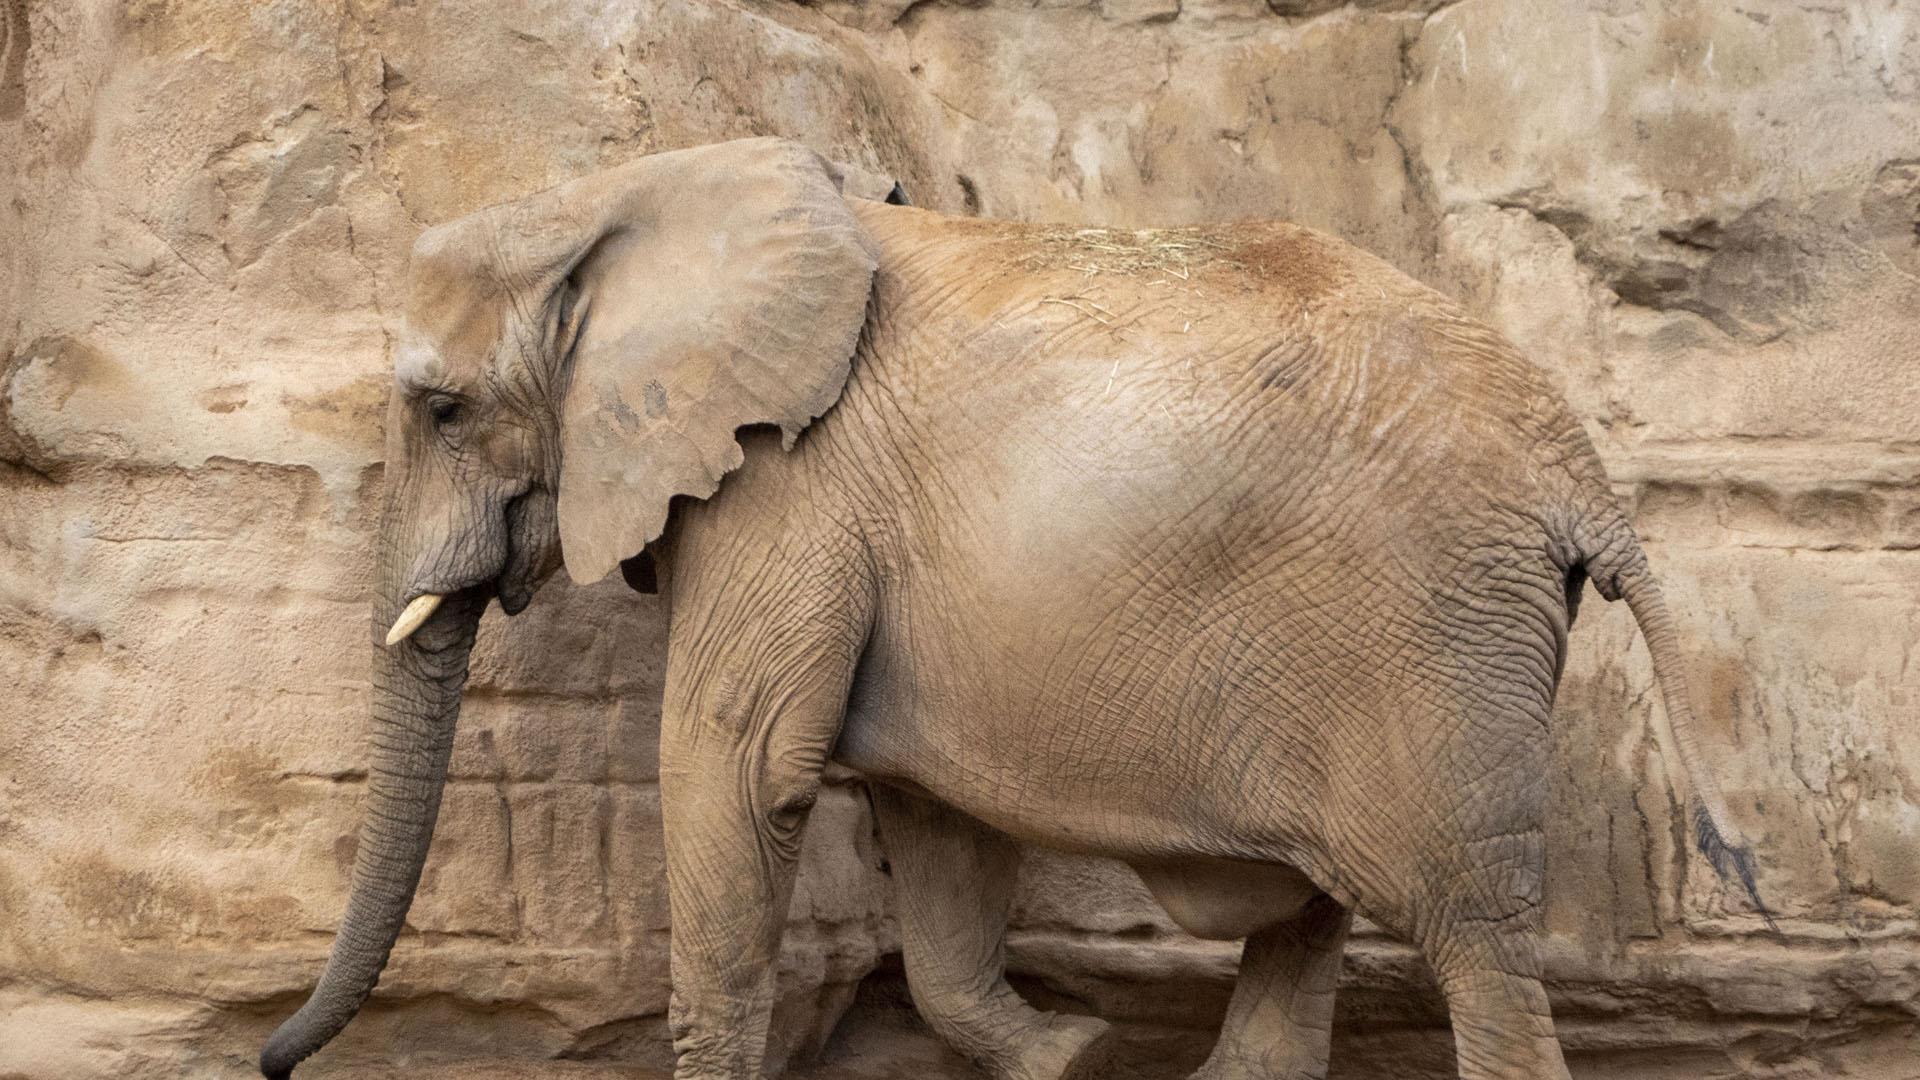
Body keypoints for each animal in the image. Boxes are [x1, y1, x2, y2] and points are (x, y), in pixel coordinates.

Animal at [259, 137, 1764, 1080]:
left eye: (440, 410)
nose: (272, 1060)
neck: (624, 193)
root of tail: (1582, 476)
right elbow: (931, 827)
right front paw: (1073, 1055)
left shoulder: (787, 483)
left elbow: (742, 772)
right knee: (1313, 920)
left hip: (1433, 643)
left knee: (1471, 935)